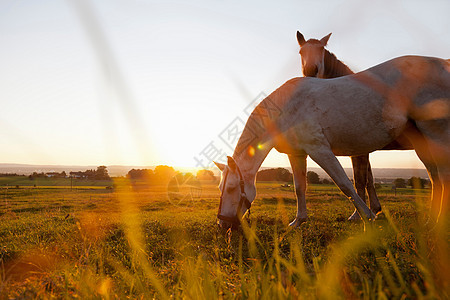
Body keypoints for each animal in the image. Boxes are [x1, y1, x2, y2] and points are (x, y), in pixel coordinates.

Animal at [214, 55, 450, 230]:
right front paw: (298, 221)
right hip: (423, 143)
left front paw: (368, 217)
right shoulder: (297, 154)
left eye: (232, 188)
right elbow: (299, 187)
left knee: (443, 178)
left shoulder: (320, 150)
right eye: (220, 187)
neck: (286, 108)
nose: (223, 224)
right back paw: (431, 222)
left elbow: (345, 184)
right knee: (435, 180)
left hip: (436, 135)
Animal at [296, 31, 414, 220]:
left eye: (321, 49)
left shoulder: (359, 150)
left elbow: (360, 180)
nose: (310, 71)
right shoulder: (362, 149)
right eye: (301, 52)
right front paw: (375, 208)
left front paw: (358, 215)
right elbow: (369, 179)